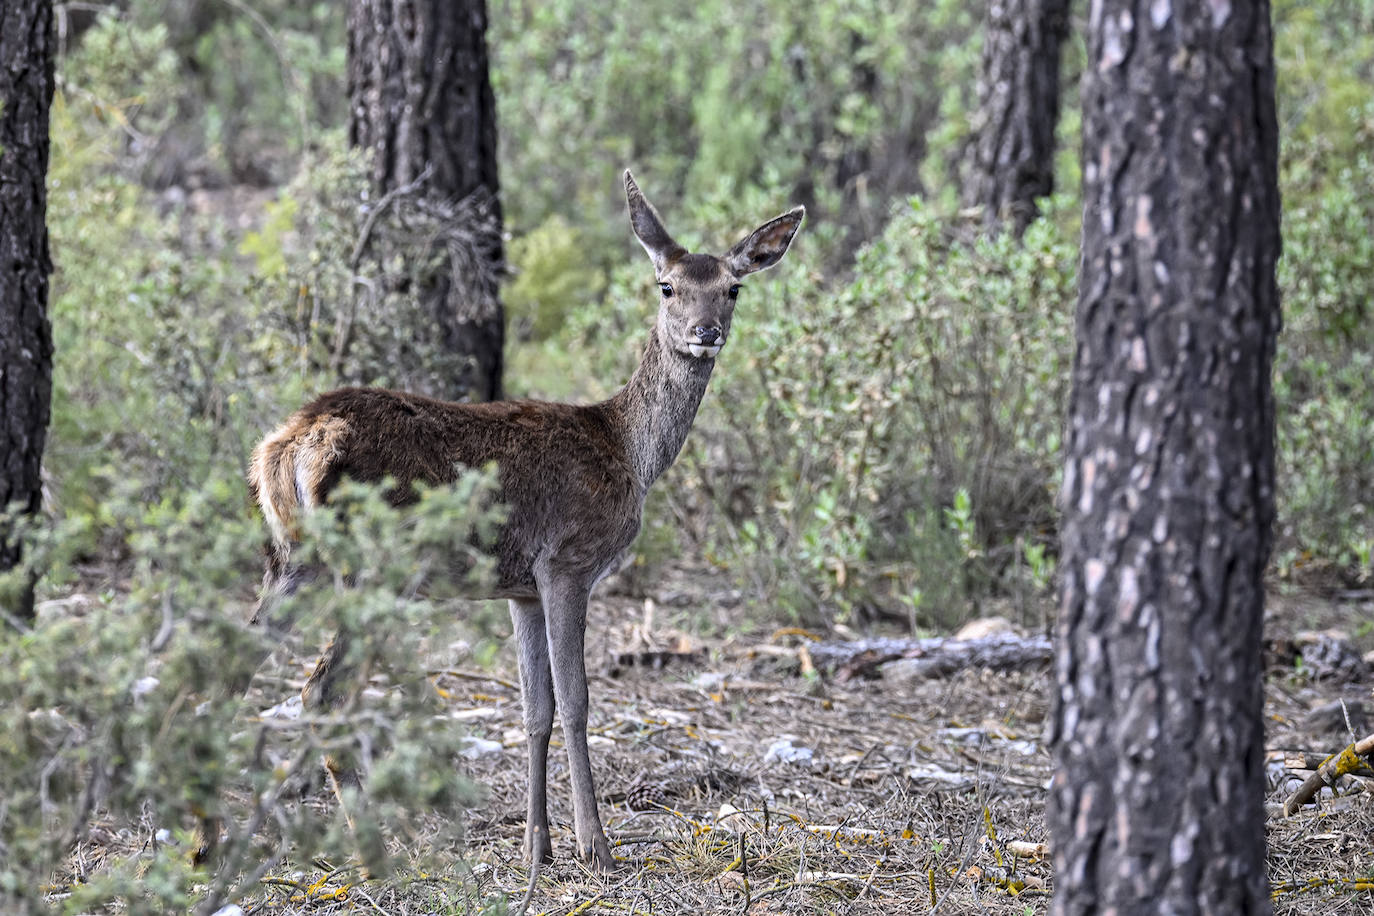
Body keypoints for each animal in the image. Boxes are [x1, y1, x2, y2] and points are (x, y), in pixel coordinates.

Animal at [245, 173, 802, 873]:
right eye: (666, 285)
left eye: (733, 287)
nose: (706, 331)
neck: (629, 450)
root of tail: (291, 442)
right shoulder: (568, 561)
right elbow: (577, 700)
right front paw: (595, 846)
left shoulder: (520, 587)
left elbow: (535, 709)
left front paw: (538, 846)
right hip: (373, 569)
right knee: (321, 690)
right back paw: (376, 851)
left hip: (290, 561)